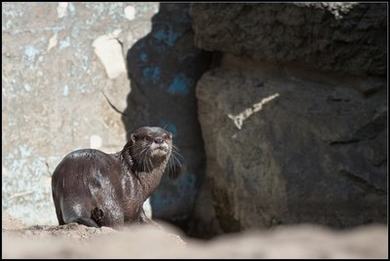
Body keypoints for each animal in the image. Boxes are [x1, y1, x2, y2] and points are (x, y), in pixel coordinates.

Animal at [50, 126, 181, 228]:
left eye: (166, 136)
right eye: (147, 137)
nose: (159, 140)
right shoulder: (134, 197)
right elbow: (137, 214)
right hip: (107, 193)